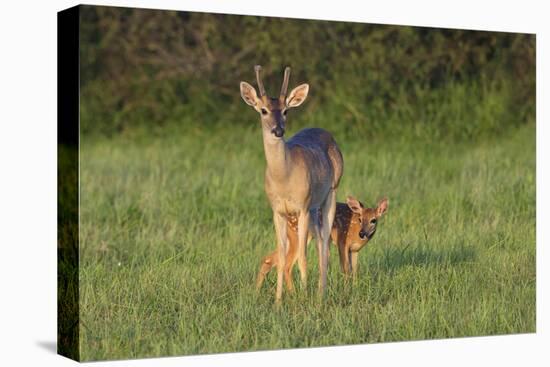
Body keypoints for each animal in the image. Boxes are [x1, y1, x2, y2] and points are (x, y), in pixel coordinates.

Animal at [242, 65, 344, 302]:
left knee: (324, 243)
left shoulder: (302, 206)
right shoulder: (277, 211)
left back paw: (321, 294)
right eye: (263, 110)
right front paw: (279, 301)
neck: (284, 180)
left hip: (330, 192)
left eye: (286, 111)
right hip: (313, 207)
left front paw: (304, 299)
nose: (278, 131)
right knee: (319, 241)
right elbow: (281, 255)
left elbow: (303, 257)